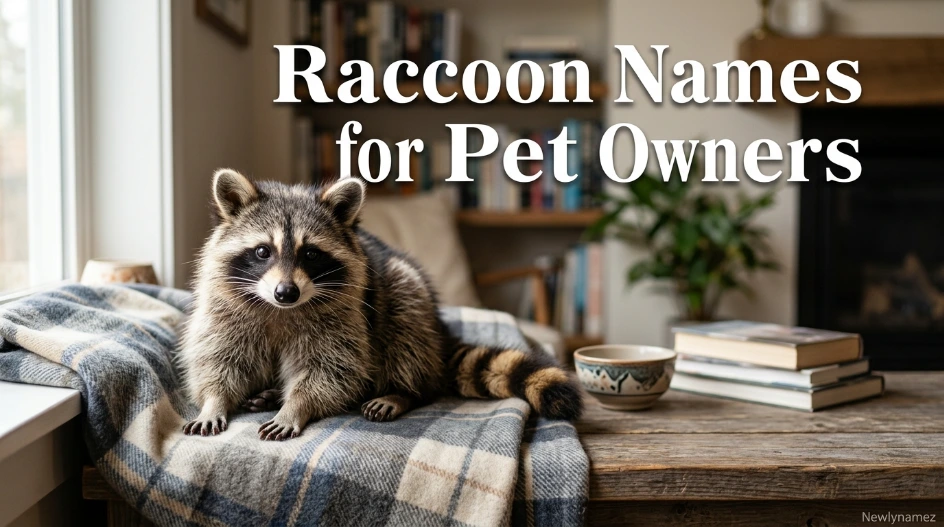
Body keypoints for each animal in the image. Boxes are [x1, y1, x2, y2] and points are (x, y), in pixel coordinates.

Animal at [179, 169, 582, 440]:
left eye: (311, 254)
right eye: (263, 251)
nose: (286, 292)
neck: (282, 310)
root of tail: (439, 334)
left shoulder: (345, 316)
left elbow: (333, 370)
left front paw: (296, 406)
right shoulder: (225, 310)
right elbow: (219, 359)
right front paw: (214, 400)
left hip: (404, 292)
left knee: (405, 324)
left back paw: (403, 392)